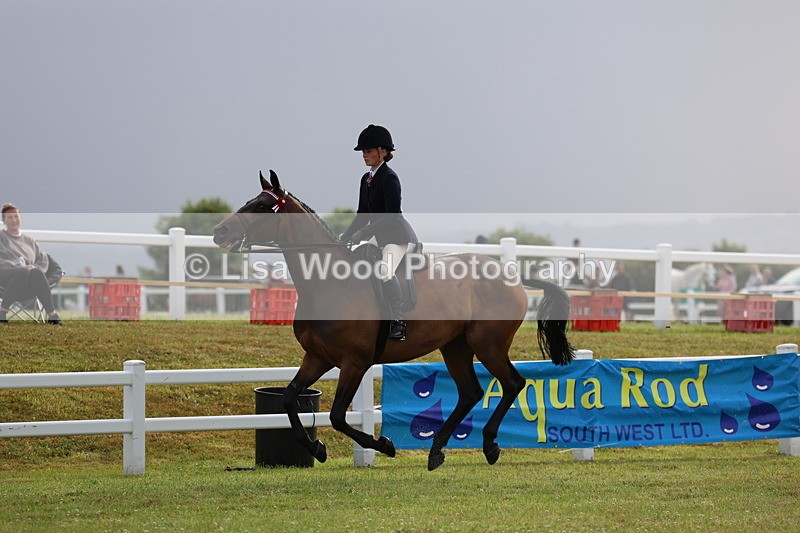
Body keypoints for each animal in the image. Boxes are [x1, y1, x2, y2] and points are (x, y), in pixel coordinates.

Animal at [213, 170, 574, 470]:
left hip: (488, 344)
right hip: (455, 346)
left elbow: (338, 416)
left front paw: (384, 445)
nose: (219, 231)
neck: (327, 283)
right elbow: (289, 400)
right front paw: (317, 449)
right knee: (470, 392)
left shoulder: (355, 362)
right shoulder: (317, 357)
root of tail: (512, 275)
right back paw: (437, 452)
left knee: (512, 383)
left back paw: (489, 445)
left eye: (262, 206)